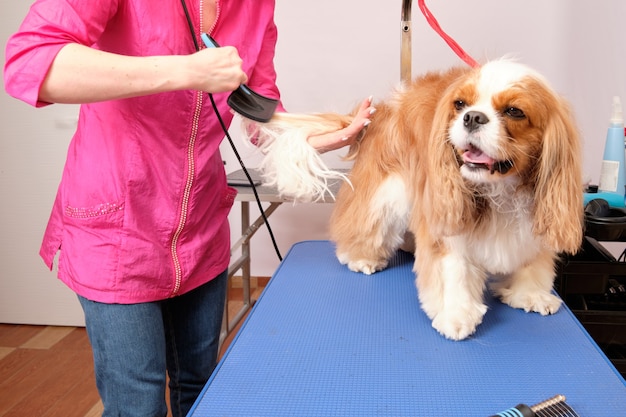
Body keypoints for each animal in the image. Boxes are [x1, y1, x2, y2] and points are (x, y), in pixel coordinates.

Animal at [243, 60, 580, 340]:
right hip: (387, 190)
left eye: (514, 111)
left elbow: (534, 262)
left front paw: (529, 294)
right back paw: (360, 257)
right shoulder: (444, 216)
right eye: (460, 104)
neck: (501, 191)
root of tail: (382, 108)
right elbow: (452, 269)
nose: (472, 117)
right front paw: (455, 315)